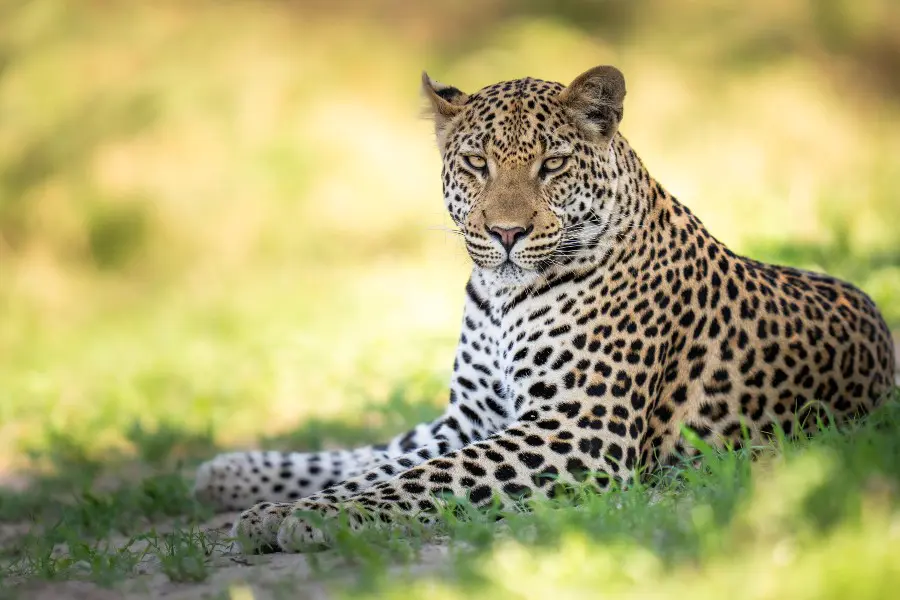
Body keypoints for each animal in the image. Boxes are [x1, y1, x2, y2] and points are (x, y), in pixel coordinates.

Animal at [193, 65, 896, 553]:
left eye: (552, 165)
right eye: (476, 164)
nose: (506, 233)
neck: (500, 299)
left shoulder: (576, 430)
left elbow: (426, 477)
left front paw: (308, 517)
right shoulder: (473, 417)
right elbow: (395, 467)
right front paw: (279, 511)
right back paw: (225, 473)